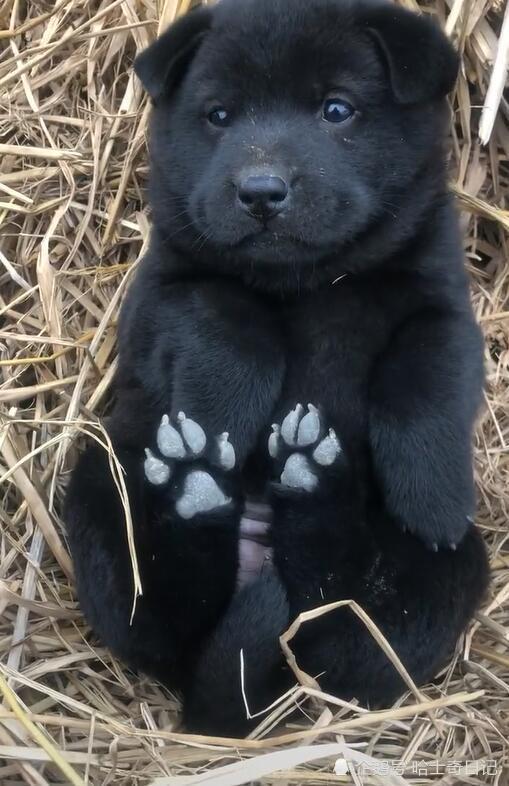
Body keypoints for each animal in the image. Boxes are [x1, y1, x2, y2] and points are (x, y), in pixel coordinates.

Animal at [63, 0, 488, 732]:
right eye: (218, 115)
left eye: (337, 110)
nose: (261, 190)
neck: (307, 279)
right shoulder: (162, 291)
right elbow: (228, 317)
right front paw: (214, 423)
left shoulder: (439, 307)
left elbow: (423, 380)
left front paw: (431, 500)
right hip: (101, 483)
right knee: (169, 620)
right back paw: (198, 481)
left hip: (446, 581)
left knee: (332, 623)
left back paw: (308, 481)